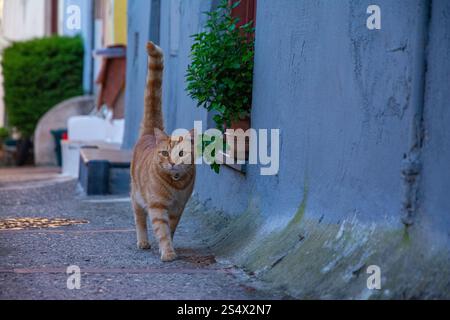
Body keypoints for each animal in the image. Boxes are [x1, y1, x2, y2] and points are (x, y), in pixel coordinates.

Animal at [129, 42, 194, 262]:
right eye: (165, 153)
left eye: (181, 154)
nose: (172, 163)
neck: (175, 185)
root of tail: (150, 132)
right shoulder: (157, 207)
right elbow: (162, 230)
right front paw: (167, 252)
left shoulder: (178, 209)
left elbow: (170, 229)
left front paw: (168, 247)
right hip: (137, 197)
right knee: (139, 220)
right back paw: (143, 242)